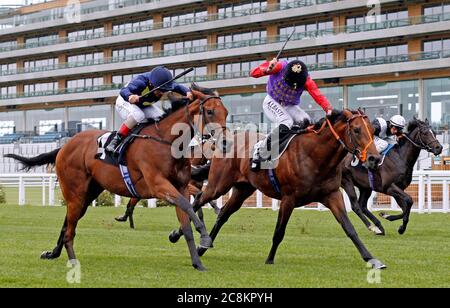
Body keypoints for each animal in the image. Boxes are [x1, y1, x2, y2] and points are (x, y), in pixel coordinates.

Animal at [7, 83, 230, 270]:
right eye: (210, 111)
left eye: (226, 112)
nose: (226, 143)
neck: (167, 141)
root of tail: (64, 146)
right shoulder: (159, 185)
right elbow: (189, 207)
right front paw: (205, 237)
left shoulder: (181, 187)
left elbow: (187, 221)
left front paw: (197, 262)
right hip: (75, 192)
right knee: (70, 228)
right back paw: (72, 261)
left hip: (88, 193)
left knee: (68, 223)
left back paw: (53, 253)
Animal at [169, 109, 386, 268]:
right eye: (356, 130)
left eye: (372, 130)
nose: (374, 158)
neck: (314, 156)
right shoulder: (289, 198)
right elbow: (279, 231)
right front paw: (270, 259)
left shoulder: (331, 195)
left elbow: (349, 228)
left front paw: (371, 258)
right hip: (218, 185)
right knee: (199, 200)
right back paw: (178, 235)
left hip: (242, 190)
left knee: (222, 214)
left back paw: (202, 247)